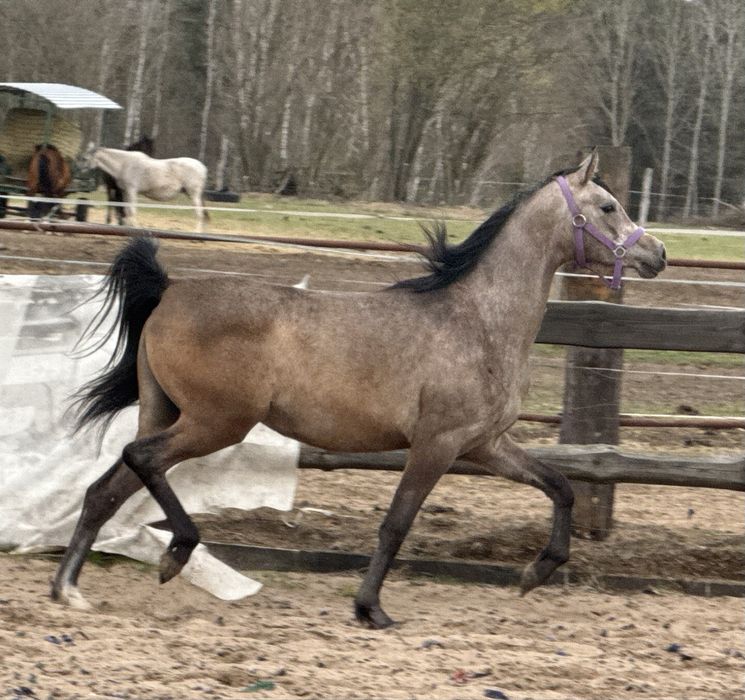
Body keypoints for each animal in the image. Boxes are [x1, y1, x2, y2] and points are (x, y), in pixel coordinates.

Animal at [51, 151, 666, 627]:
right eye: (608, 207)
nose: (656, 254)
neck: (477, 320)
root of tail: (170, 290)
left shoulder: (484, 444)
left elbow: (560, 486)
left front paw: (534, 573)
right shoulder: (437, 445)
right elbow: (396, 523)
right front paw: (370, 608)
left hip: (165, 411)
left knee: (105, 488)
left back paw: (69, 590)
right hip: (214, 422)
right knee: (140, 461)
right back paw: (175, 553)